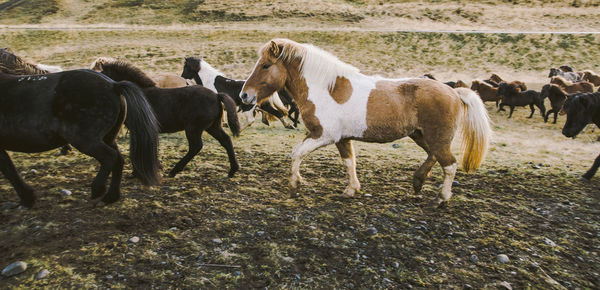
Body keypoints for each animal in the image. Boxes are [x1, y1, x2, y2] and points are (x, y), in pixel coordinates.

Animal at [0, 69, 162, 207]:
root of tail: (113, 85)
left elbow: (9, 171)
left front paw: (27, 199)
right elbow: (9, 169)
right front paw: (27, 198)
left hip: (86, 141)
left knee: (110, 157)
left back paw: (98, 189)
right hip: (107, 138)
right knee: (118, 160)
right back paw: (111, 196)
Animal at [237, 38, 490, 206]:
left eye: (266, 65)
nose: (244, 95)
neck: (326, 89)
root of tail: (454, 92)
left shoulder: (323, 135)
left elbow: (296, 152)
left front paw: (293, 186)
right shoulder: (341, 138)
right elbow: (349, 162)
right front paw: (351, 190)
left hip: (437, 138)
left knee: (449, 164)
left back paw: (442, 198)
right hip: (420, 135)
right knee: (434, 157)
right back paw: (418, 183)